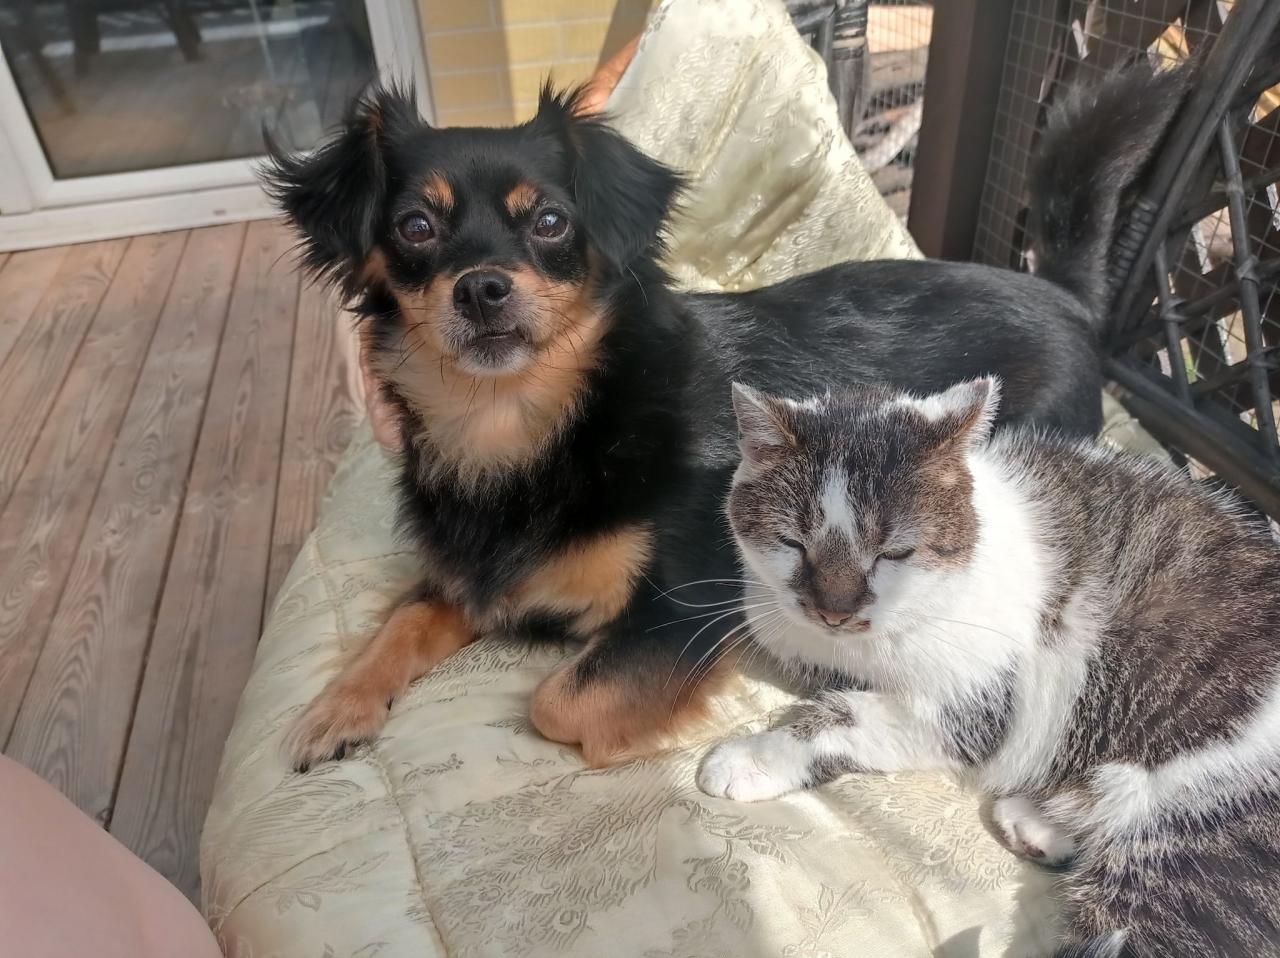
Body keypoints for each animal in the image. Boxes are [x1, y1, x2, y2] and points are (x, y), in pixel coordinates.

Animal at [266, 66, 1188, 771]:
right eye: (415, 227)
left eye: (552, 222)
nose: (482, 287)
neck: (528, 427)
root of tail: (1062, 295)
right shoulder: (472, 574)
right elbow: (403, 619)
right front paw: (337, 707)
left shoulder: (689, 602)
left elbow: (557, 703)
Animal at [697, 377, 1280, 957]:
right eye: (792, 544)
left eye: (894, 553)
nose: (834, 611)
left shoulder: (977, 708)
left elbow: (844, 715)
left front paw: (753, 757)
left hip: (1192, 845)